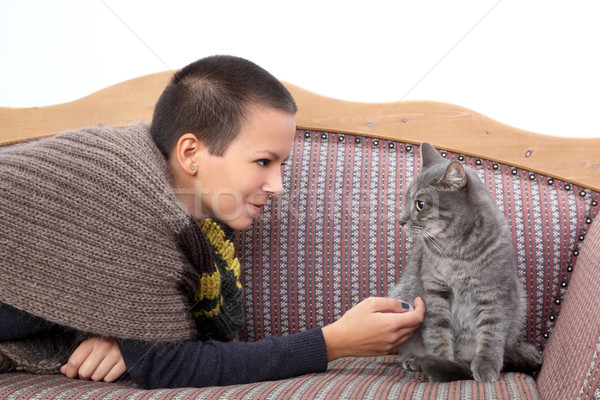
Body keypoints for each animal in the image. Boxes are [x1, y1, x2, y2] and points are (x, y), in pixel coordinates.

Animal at [390, 143, 544, 382]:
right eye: (406, 200)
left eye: (420, 204)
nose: (401, 221)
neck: (457, 253)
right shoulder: (436, 292)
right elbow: (438, 332)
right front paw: (441, 361)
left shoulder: (493, 293)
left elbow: (491, 333)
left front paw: (484, 365)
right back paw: (416, 360)